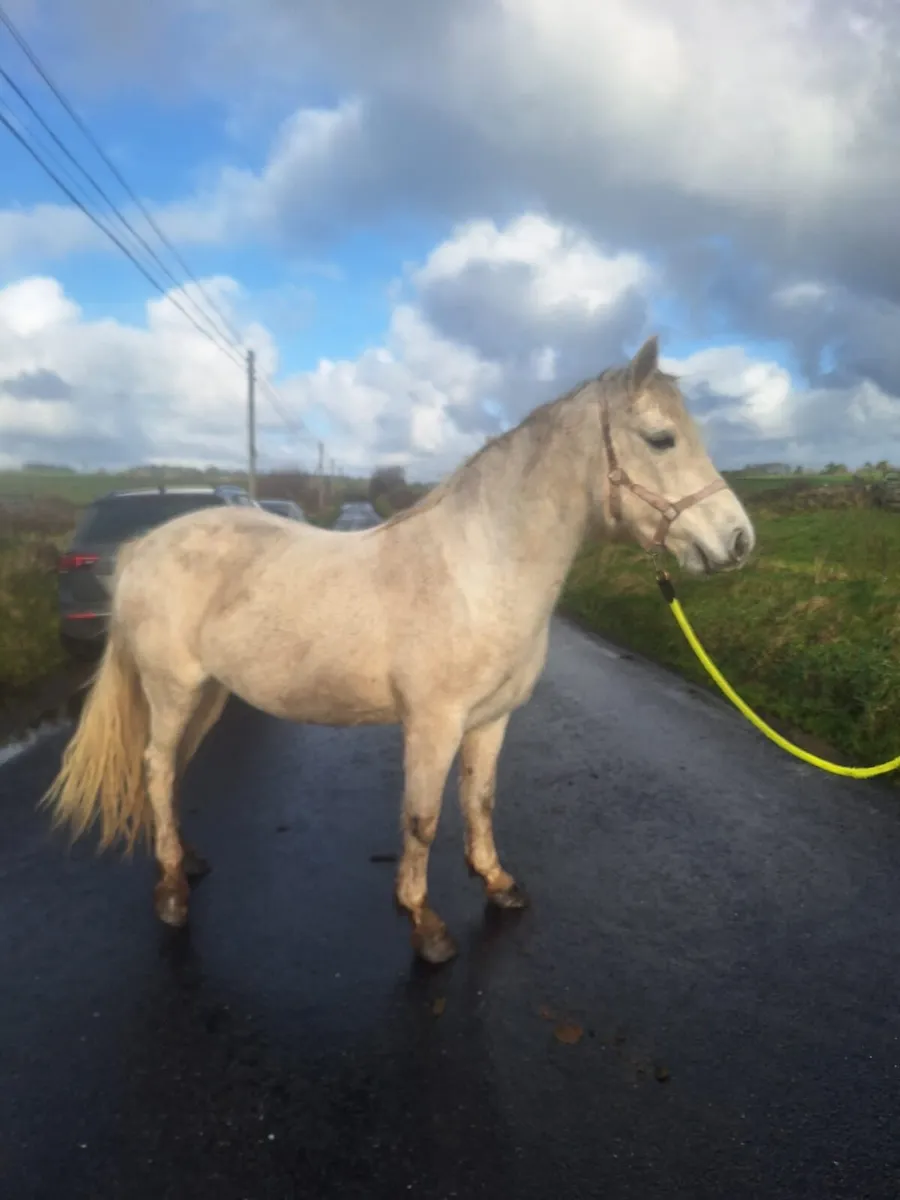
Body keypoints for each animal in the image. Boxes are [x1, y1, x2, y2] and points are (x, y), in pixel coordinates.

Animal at [41, 335, 756, 965]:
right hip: (173, 688)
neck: (479, 569)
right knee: (156, 766)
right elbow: (422, 819)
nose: (739, 541)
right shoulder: (432, 725)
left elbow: (479, 802)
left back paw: (186, 861)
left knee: (172, 767)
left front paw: (498, 885)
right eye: (661, 439)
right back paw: (169, 891)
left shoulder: (491, 721)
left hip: (211, 694)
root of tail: (142, 547)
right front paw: (425, 926)